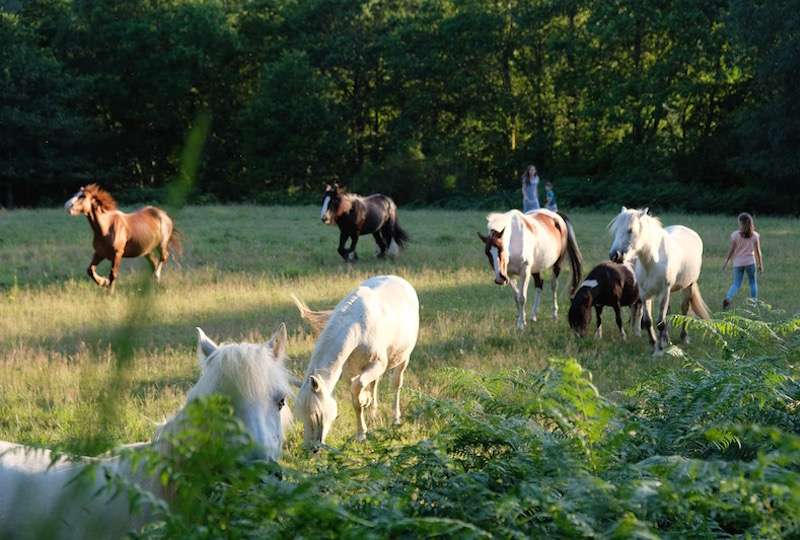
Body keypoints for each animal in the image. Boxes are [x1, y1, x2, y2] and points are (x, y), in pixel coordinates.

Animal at [292, 276, 418, 446]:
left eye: (317, 414)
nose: (311, 448)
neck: (357, 328)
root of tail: (399, 279)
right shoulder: (349, 371)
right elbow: (355, 396)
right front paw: (363, 425)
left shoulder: (378, 364)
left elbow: (357, 389)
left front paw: (361, 433)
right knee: (375, 383)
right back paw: (373, 413)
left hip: (403, 358)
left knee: (396, 384)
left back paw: (395, 419)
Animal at [608, 206, 708, 354]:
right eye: (615, 230)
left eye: (630, 230)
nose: (615, 256)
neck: (652, 262)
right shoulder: (645, 294)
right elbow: (648, 321)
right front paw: (654, 343)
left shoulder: (663, 292)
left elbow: (660, 322)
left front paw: (660, 348)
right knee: (668, 312)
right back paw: (667, 339)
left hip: (688, 285)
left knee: (684, 309)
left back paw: (683, 337)